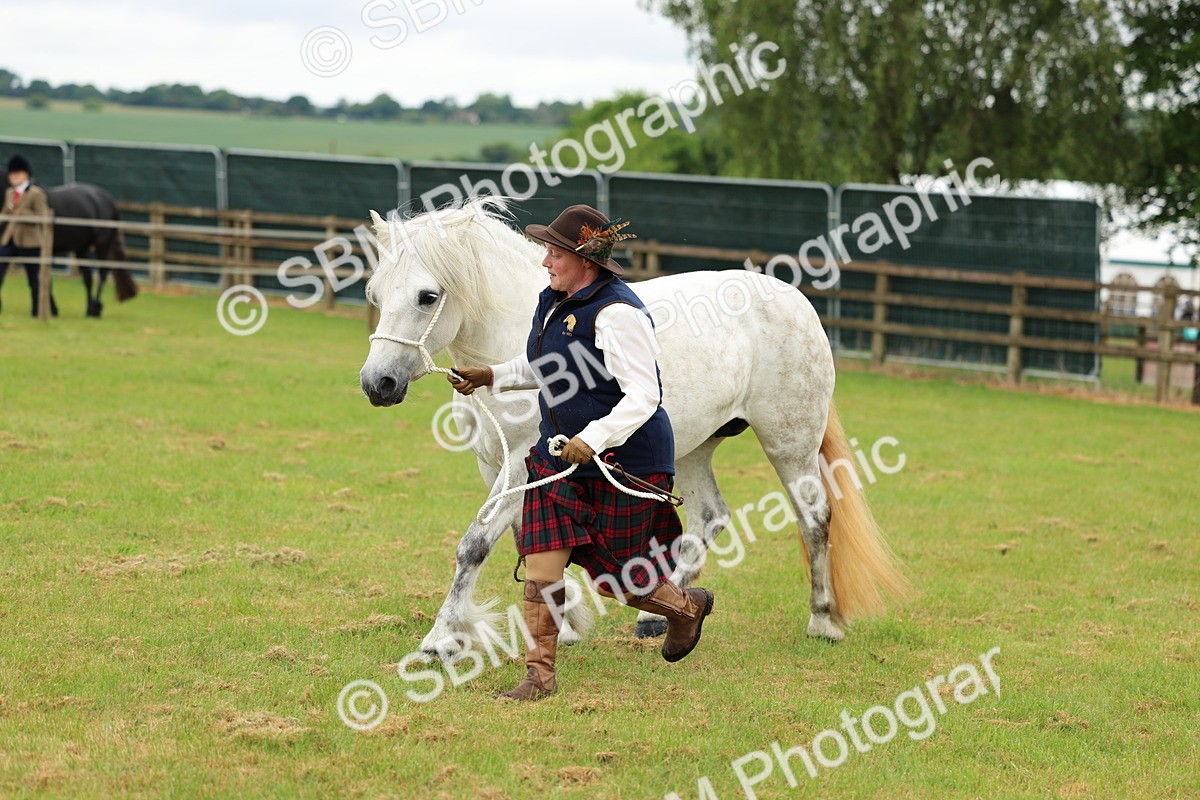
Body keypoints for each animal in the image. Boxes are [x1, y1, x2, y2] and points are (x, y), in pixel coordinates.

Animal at [45, 183, 137, 317]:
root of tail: (107, 199)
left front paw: (53, 310)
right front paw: (51, 309)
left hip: (101, 245)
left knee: (103, 272)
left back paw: (95, 308)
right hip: (81, 248)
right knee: (88, 277)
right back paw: (89, 309)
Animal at [358, 198, 908, 658]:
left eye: (428, 296)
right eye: (375, 292)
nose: (376, 383)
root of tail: (795, 300)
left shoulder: (523, 463)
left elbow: (474, 545)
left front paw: (441, 638)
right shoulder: (497, 464)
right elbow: (525, 542)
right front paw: (567, 624)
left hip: (790, 444)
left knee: (814, 519)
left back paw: (823, 621)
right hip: (692, 449)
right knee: (710, 517)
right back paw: (658, 618)